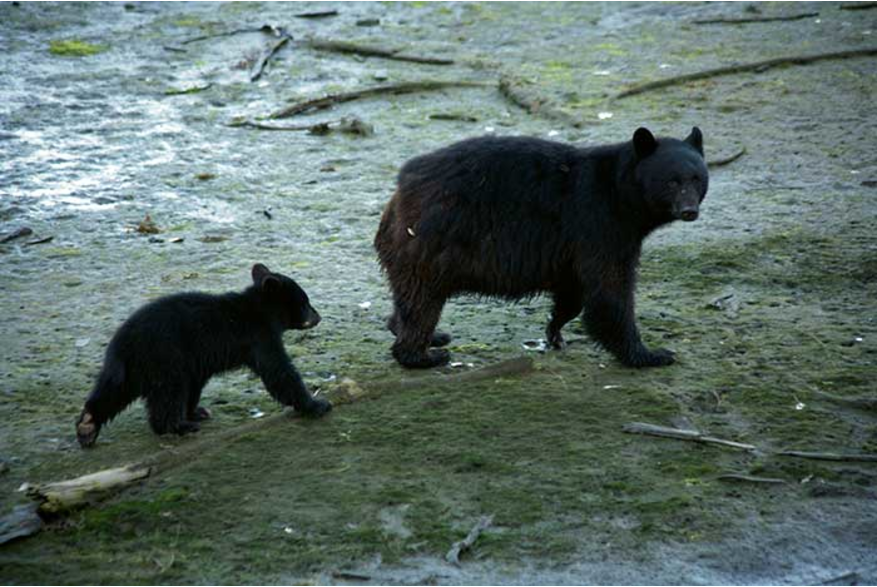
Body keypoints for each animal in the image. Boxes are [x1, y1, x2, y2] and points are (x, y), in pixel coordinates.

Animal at [75, 264, 332, 447]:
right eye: (305, 302)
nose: (318, 316)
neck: (259, 309)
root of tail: (123, 341)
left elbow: (196, 384)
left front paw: (196, 411)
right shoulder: (259, 336)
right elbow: (278, 372)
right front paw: (317, 404)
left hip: (132, 367)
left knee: (114, 390)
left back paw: (87, 425)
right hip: (164, 356)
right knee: (169, 392)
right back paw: (177, 427)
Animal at [373, 127, 708, 369]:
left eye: (697, 178)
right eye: (672, 181)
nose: (689, 210)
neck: (620, 192)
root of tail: (400, 189)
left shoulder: (572, 247)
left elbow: (573, 291)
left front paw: (555, 330)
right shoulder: (599, 224)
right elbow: (609, 291)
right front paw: (650, 354)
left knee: (408, 298)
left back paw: (420, 333)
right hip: (432, 243)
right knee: (422, 302)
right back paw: (422, 355)